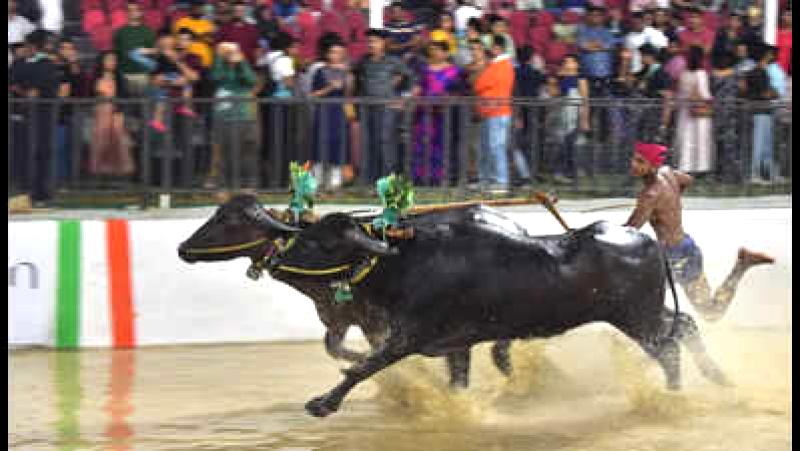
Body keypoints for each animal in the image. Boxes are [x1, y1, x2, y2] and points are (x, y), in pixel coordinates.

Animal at [264, 207, 732, 418]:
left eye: (320, 242)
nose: (273, 258)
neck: (404, 262)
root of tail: (647, 239)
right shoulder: (455, 345)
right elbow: (457, 382)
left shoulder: (409, 335)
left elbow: (363, 366)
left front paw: (323, 403)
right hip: (649, 313)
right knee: (684, 327)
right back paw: (711, 381)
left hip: (637, 318)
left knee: (669, 346)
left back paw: (673, 395)